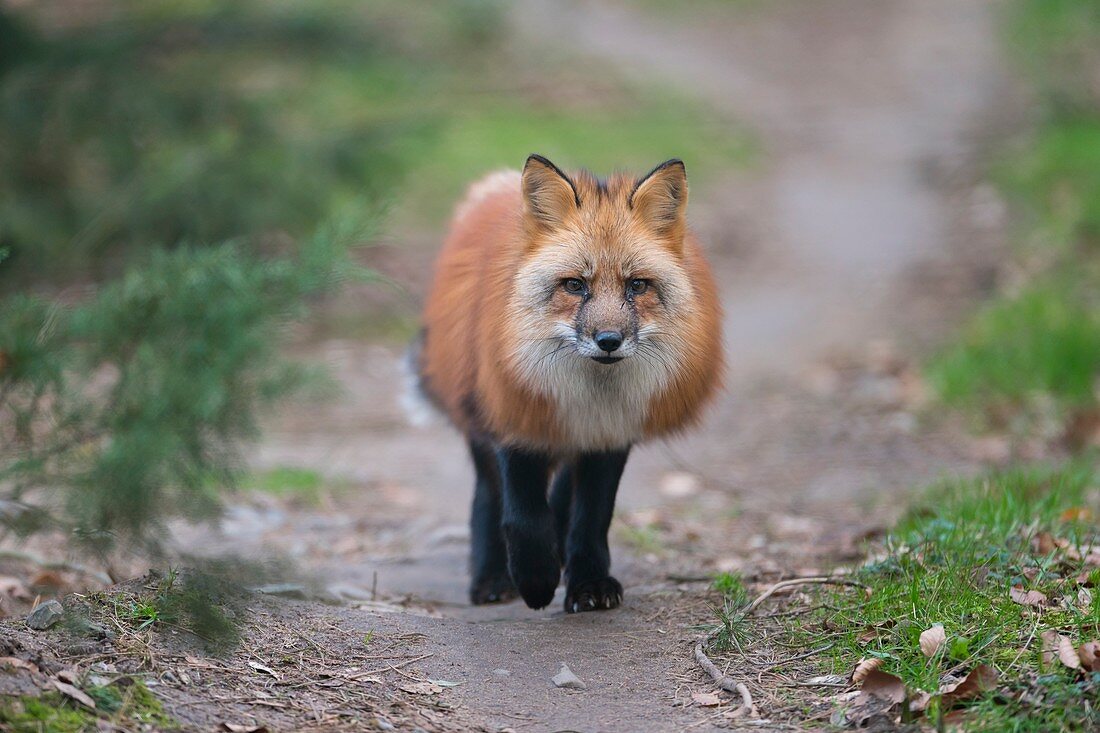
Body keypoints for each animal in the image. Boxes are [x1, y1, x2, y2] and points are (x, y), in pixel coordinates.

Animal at [413, 154, 721, 611]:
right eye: (575, 285)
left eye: (637, 286)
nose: (608, 340)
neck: (588, 396)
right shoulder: (516, 414)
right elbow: (522, 516)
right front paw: (536, 579)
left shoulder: (609, 436)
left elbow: (591, 517)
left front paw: (588, 582)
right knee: (488, 495)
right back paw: (491, 576)